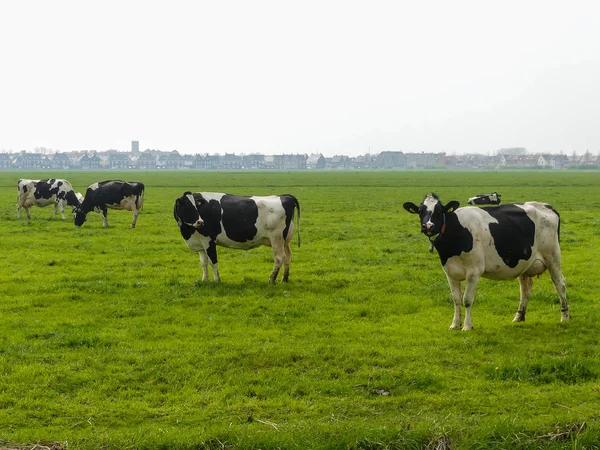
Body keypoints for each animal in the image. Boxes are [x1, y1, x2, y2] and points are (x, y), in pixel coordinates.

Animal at [404, 193, 568, 330]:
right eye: (420, 211)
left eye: (439, 211)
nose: (428, 226)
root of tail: (546, 205)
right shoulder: (450, 272)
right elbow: (456, 300)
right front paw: (455, 324)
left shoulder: (474, 271)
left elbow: (467, 300)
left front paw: (467, 326)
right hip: (525, 263)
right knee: (525, 289)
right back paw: (519, 316)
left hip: (553, 257)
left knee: (560, 284)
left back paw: (565, 316)